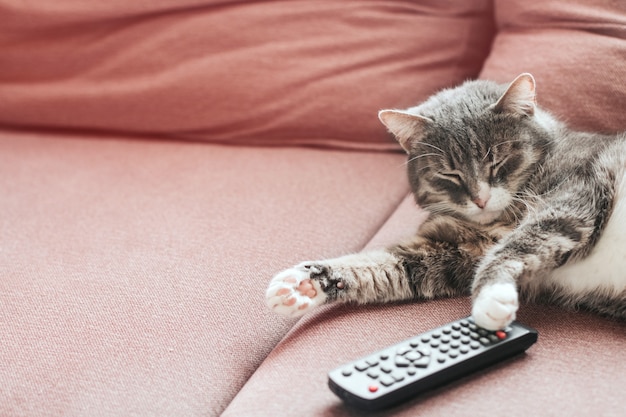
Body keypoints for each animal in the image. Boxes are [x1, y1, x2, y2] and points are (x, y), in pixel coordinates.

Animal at [264, 73, 624, 330]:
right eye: (449, 174)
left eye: (497, 161)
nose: (480, 199)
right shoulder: (450, 249)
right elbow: (386, 264)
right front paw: (305, 284)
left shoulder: (577, 197)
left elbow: (522, 241)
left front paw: (490, 297)